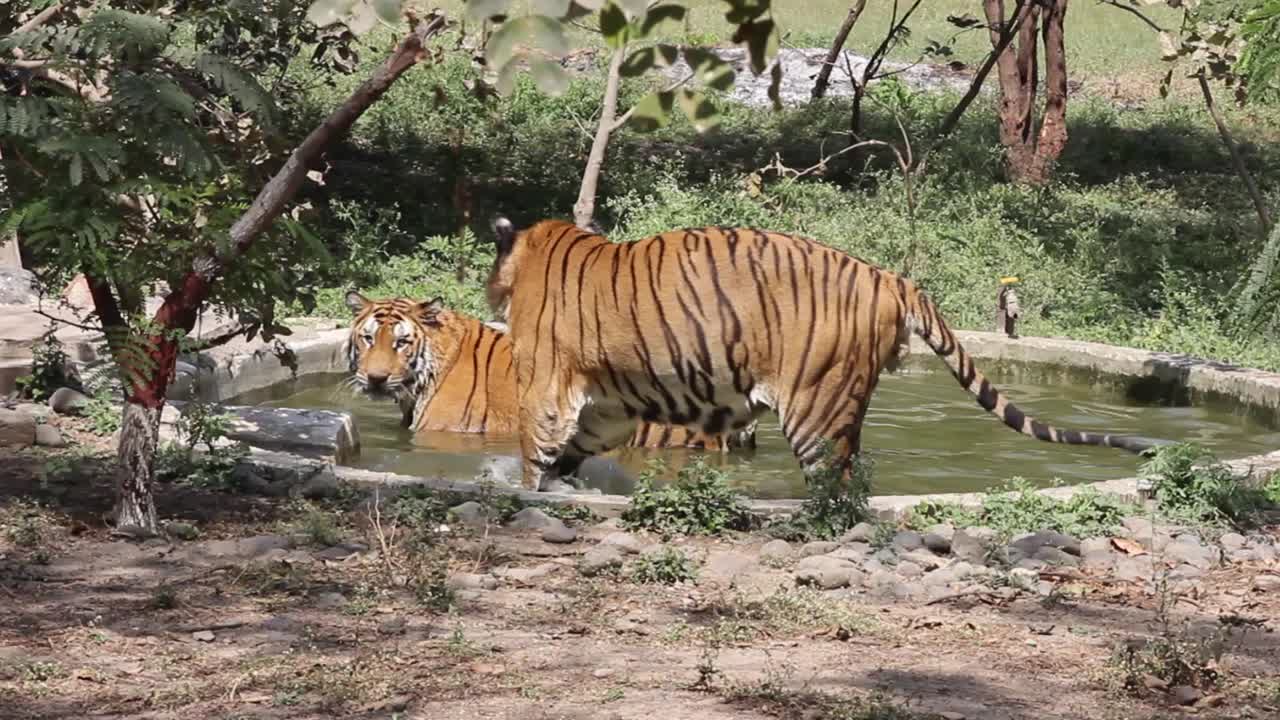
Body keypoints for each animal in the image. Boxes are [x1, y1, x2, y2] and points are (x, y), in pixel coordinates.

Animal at [484, 217, 1170, 491]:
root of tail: (892, 277)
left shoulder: (546, 386)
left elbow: (534, 450)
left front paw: (527, 491)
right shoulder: (607, 405)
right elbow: (573, 447)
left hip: (815, 405)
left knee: (836, 490)